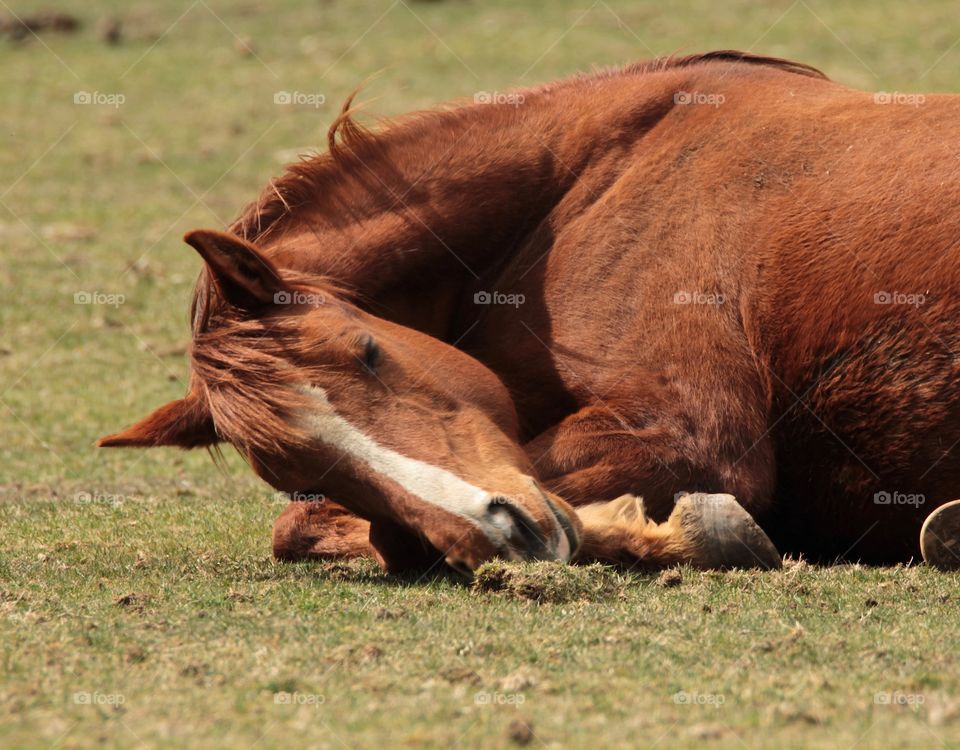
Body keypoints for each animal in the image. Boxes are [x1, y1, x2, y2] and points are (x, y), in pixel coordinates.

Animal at [99, 51, 960, 568]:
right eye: (291, 466)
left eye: (367, 353)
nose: (505, 531)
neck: (583, 188)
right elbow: (319, 525)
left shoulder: (693, 431)